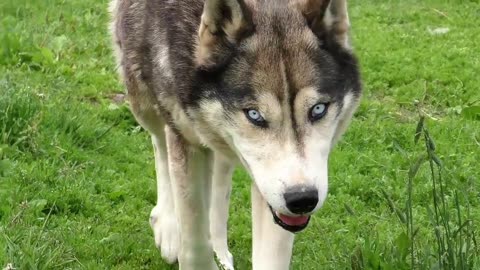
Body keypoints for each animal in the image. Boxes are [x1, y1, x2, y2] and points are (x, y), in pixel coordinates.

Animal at [110, 0, 362, 268]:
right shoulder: (187, 140)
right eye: (254, 115)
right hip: (144, 102)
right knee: (160, 142)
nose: (302, 199)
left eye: (318, 109)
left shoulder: (271, 191)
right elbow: (193, 238)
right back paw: (168, 228)